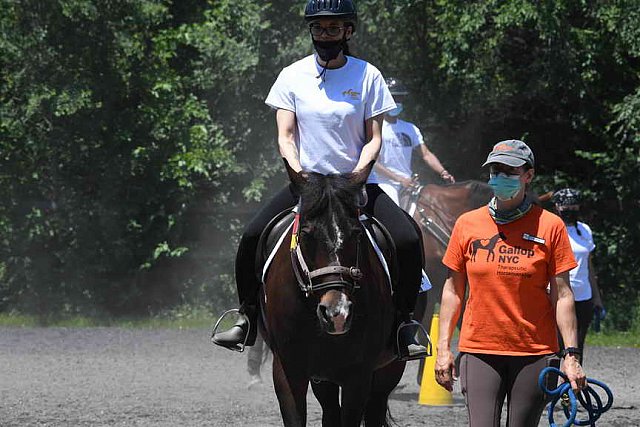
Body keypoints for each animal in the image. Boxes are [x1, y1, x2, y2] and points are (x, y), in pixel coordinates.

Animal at [264, 162, 404, 426]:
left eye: (357, 234)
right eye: (306, 234)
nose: (336, 312)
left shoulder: (358, 376)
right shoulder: (288, 370)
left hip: (387, 371)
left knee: (376, 407)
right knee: (330, 410)